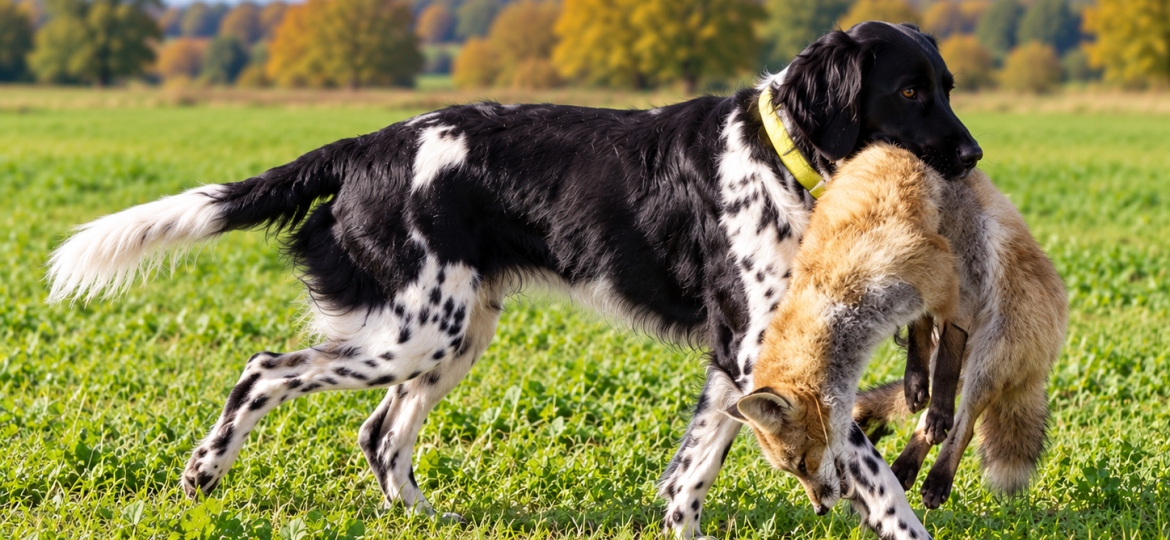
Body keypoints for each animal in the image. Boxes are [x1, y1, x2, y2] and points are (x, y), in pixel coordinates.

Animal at [722, 142, 966, 539]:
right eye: (791, 470)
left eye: (802, 464)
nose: (819, 510)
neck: (843, 303)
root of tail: (883, 147)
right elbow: (925, 334)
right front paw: (918, 384)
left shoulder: (943, 279)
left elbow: (947, 357)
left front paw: (939, 411)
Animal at [853, 163, 1068, 509]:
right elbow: (919, 345)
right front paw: (912, 380)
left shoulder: (963, 286)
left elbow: (943, 382)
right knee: (927, 417)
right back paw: (902, 462)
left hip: (987, 364)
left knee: (961, 426)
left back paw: (937, 478)